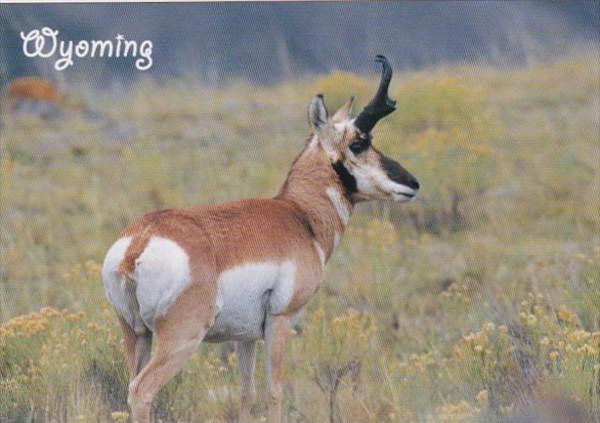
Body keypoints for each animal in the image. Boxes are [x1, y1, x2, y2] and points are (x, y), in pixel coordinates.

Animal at [103, 56, 420, 423]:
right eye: (359, 142)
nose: (412, 183)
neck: (298, 215)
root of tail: (138, 243)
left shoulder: (245, 337)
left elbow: (246, 393)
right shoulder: (279, 322)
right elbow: (274, 392)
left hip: (135, 334)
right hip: (182, 338)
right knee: (141, 390)